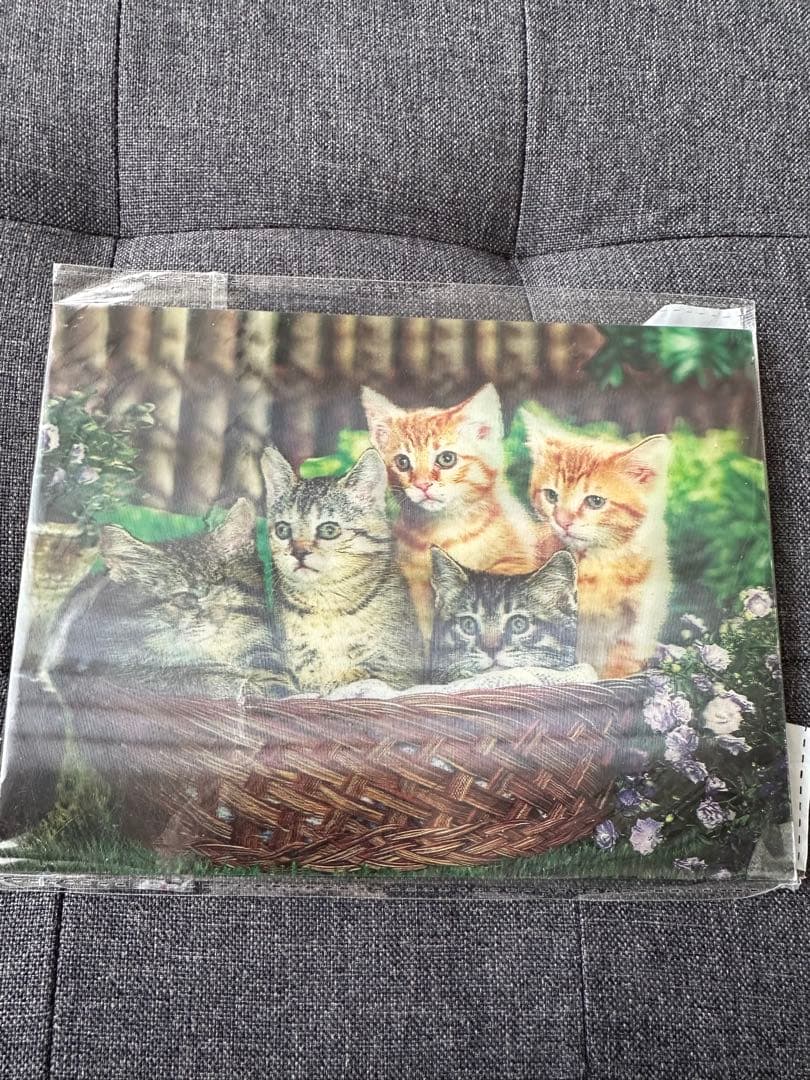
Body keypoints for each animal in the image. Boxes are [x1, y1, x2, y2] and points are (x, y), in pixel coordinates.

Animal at [261, 445, 423, 694]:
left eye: (329, 530)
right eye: (282, 530)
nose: (299, 552)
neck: (326, 606)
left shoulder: (399, 669)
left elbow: (360, 674)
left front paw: (336, 680)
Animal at [361, 382, 558, 640]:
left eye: (446, 459)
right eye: (402, 462)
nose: (422, 485)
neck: (443, 532)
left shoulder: (514, 561)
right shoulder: (415, 584)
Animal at [522, 412, 672, 678]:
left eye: (595, 501)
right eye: (551, 495)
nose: (562, 521)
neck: (600, 566)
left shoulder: (641, 617)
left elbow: (623, 658)